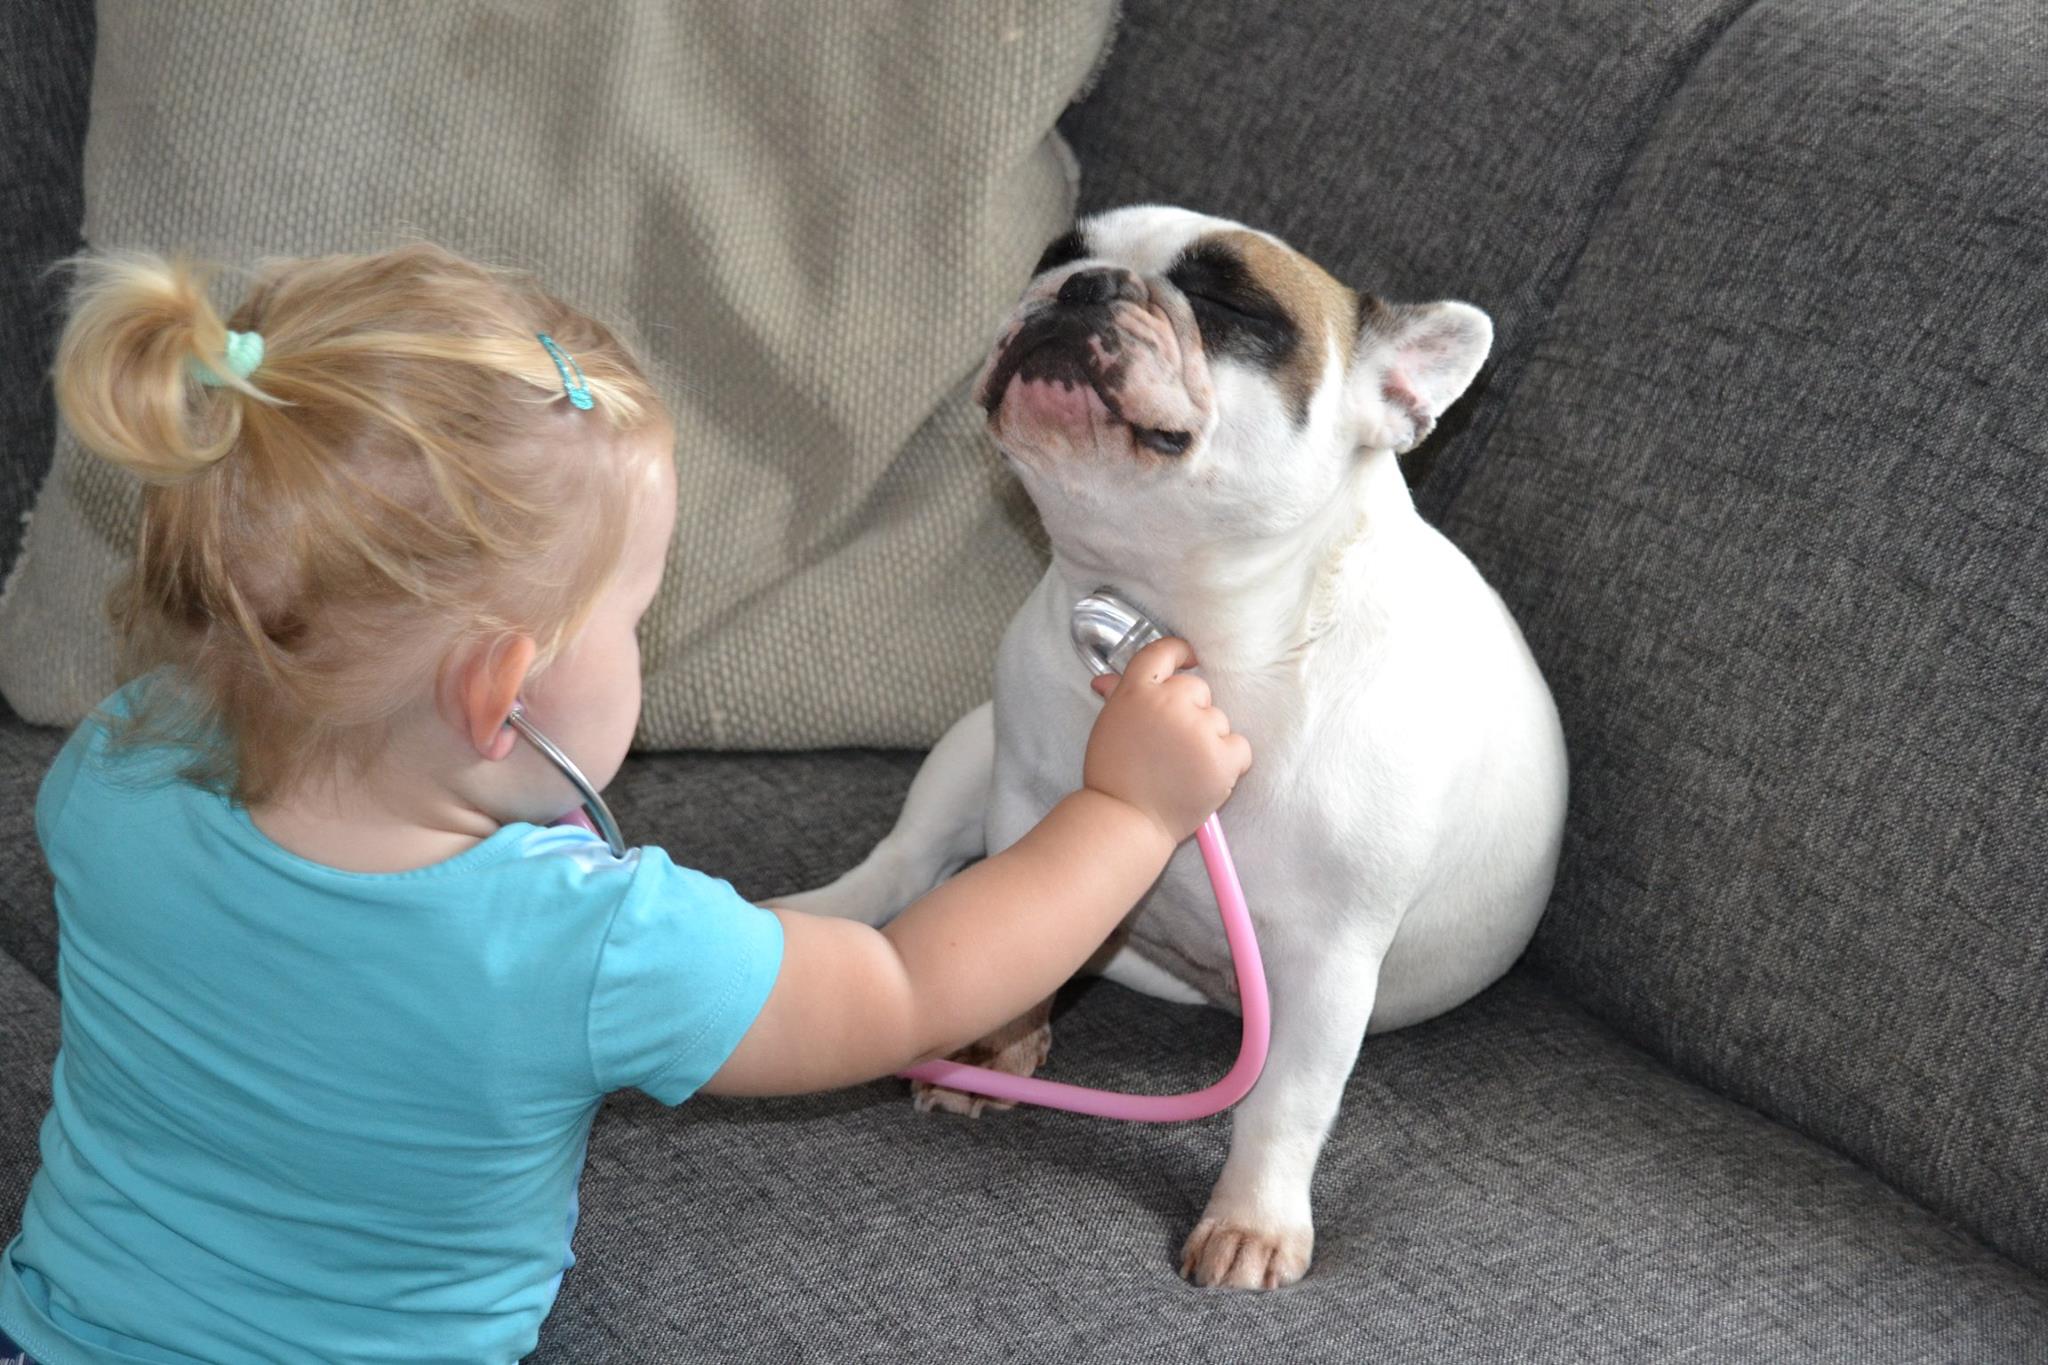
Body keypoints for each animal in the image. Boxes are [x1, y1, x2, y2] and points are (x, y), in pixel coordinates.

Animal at [782, 205, 1564, 1293]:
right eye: (1055, 255)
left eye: (1233, 305)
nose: (1084, 285)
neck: (1190, 622)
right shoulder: (1023, 812)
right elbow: (1024, 940)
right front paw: (995, 1048)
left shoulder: (1332, 956)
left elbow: (1287, 1101)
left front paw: (1253, 1223)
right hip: (970, 754)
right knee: (904, 862)